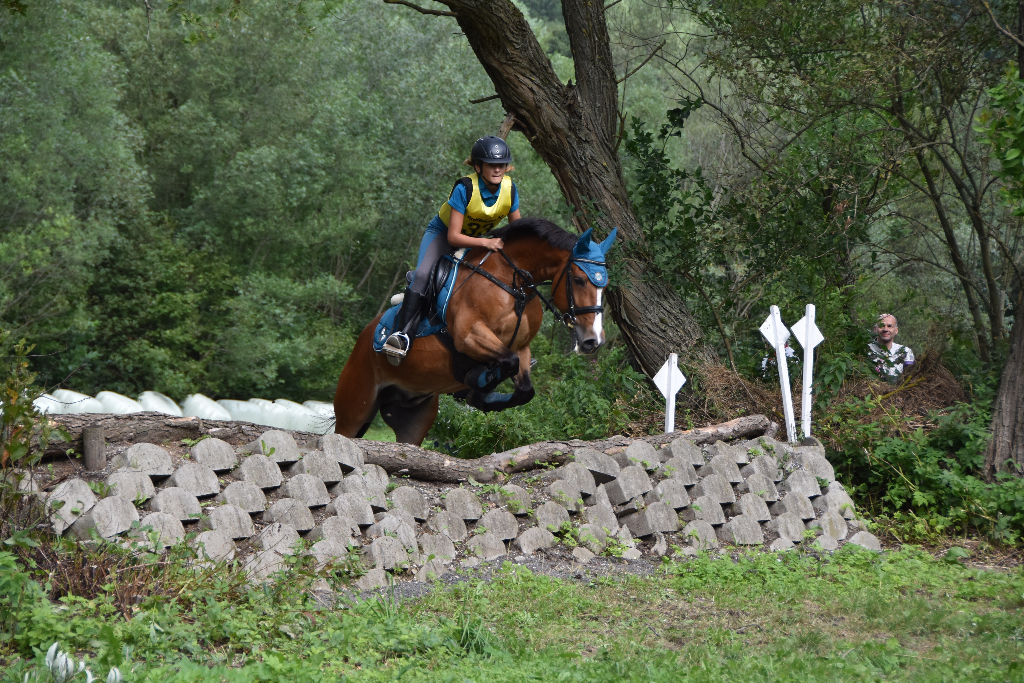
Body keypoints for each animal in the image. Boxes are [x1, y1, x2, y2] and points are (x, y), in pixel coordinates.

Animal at [333, 216, 614, 446]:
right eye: (578, 280)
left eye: (605, 285)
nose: (593, 341)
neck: (513, 282)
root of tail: (362, 340)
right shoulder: (469, 336)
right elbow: (506, 362)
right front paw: (478, 384)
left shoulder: (521, 346)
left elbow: (524, 387)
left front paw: (484, 397)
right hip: (354, 408)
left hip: (413, 416)